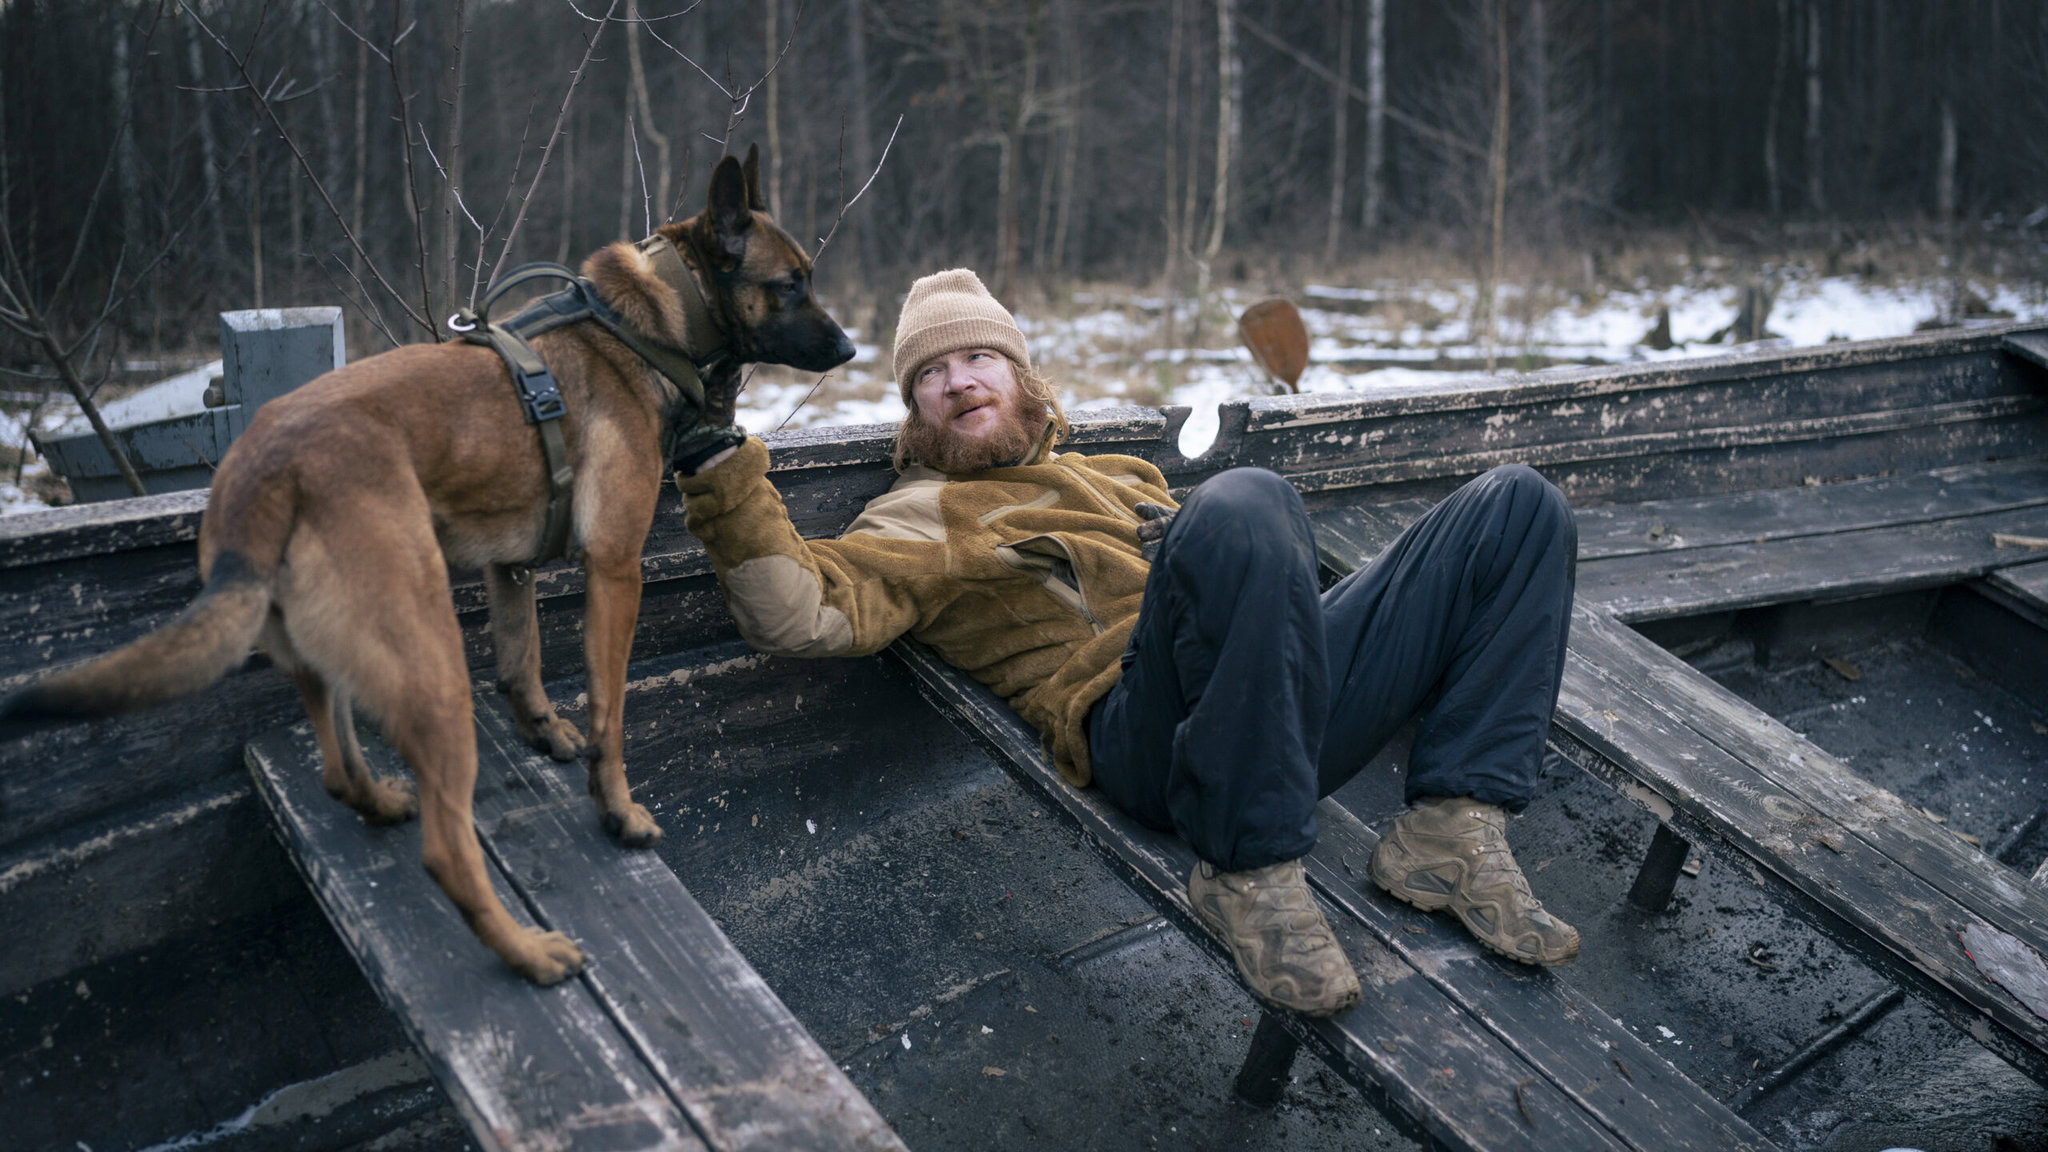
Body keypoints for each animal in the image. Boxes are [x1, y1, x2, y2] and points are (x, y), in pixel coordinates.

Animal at [0, 147, 847, 983]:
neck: (646, 321)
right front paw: (617, 811)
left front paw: (546, 734)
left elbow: (521, 666)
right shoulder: (615, 570)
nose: (848, 350)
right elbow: (609, 714)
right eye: (790, 283)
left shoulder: (511, 570)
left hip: (326, 661)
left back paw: (383, 803)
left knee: (339, 772)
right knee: (446, 850)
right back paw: (529, 953)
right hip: (432, 667)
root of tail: (267, 467)